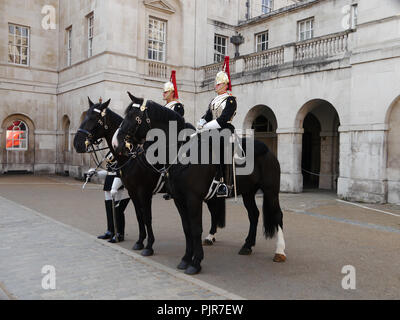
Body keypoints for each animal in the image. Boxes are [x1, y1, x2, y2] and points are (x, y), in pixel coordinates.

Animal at [74, 96, 225, 256]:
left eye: (94, 118)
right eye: (85, 116)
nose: (77, 144)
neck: (131, 157)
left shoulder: (144, 192)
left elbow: (147, 217)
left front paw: (149, 246)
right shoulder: (132, 191)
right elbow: (139, 216)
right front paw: (140, 242)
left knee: (214, 211)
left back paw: (210, 236)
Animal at [114, 94, 286, 276]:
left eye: (134, 117)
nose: (118, 144)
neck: (182, 154)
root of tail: (268, 150)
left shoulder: (190, 198)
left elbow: (195, 228)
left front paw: (195, 263)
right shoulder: (178, 199)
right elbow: (186, 228)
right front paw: (185, 259)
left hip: (271, 191)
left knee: (277, 215)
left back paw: (280, 252)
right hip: (248, 192)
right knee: (253, 215)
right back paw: (247, 246)